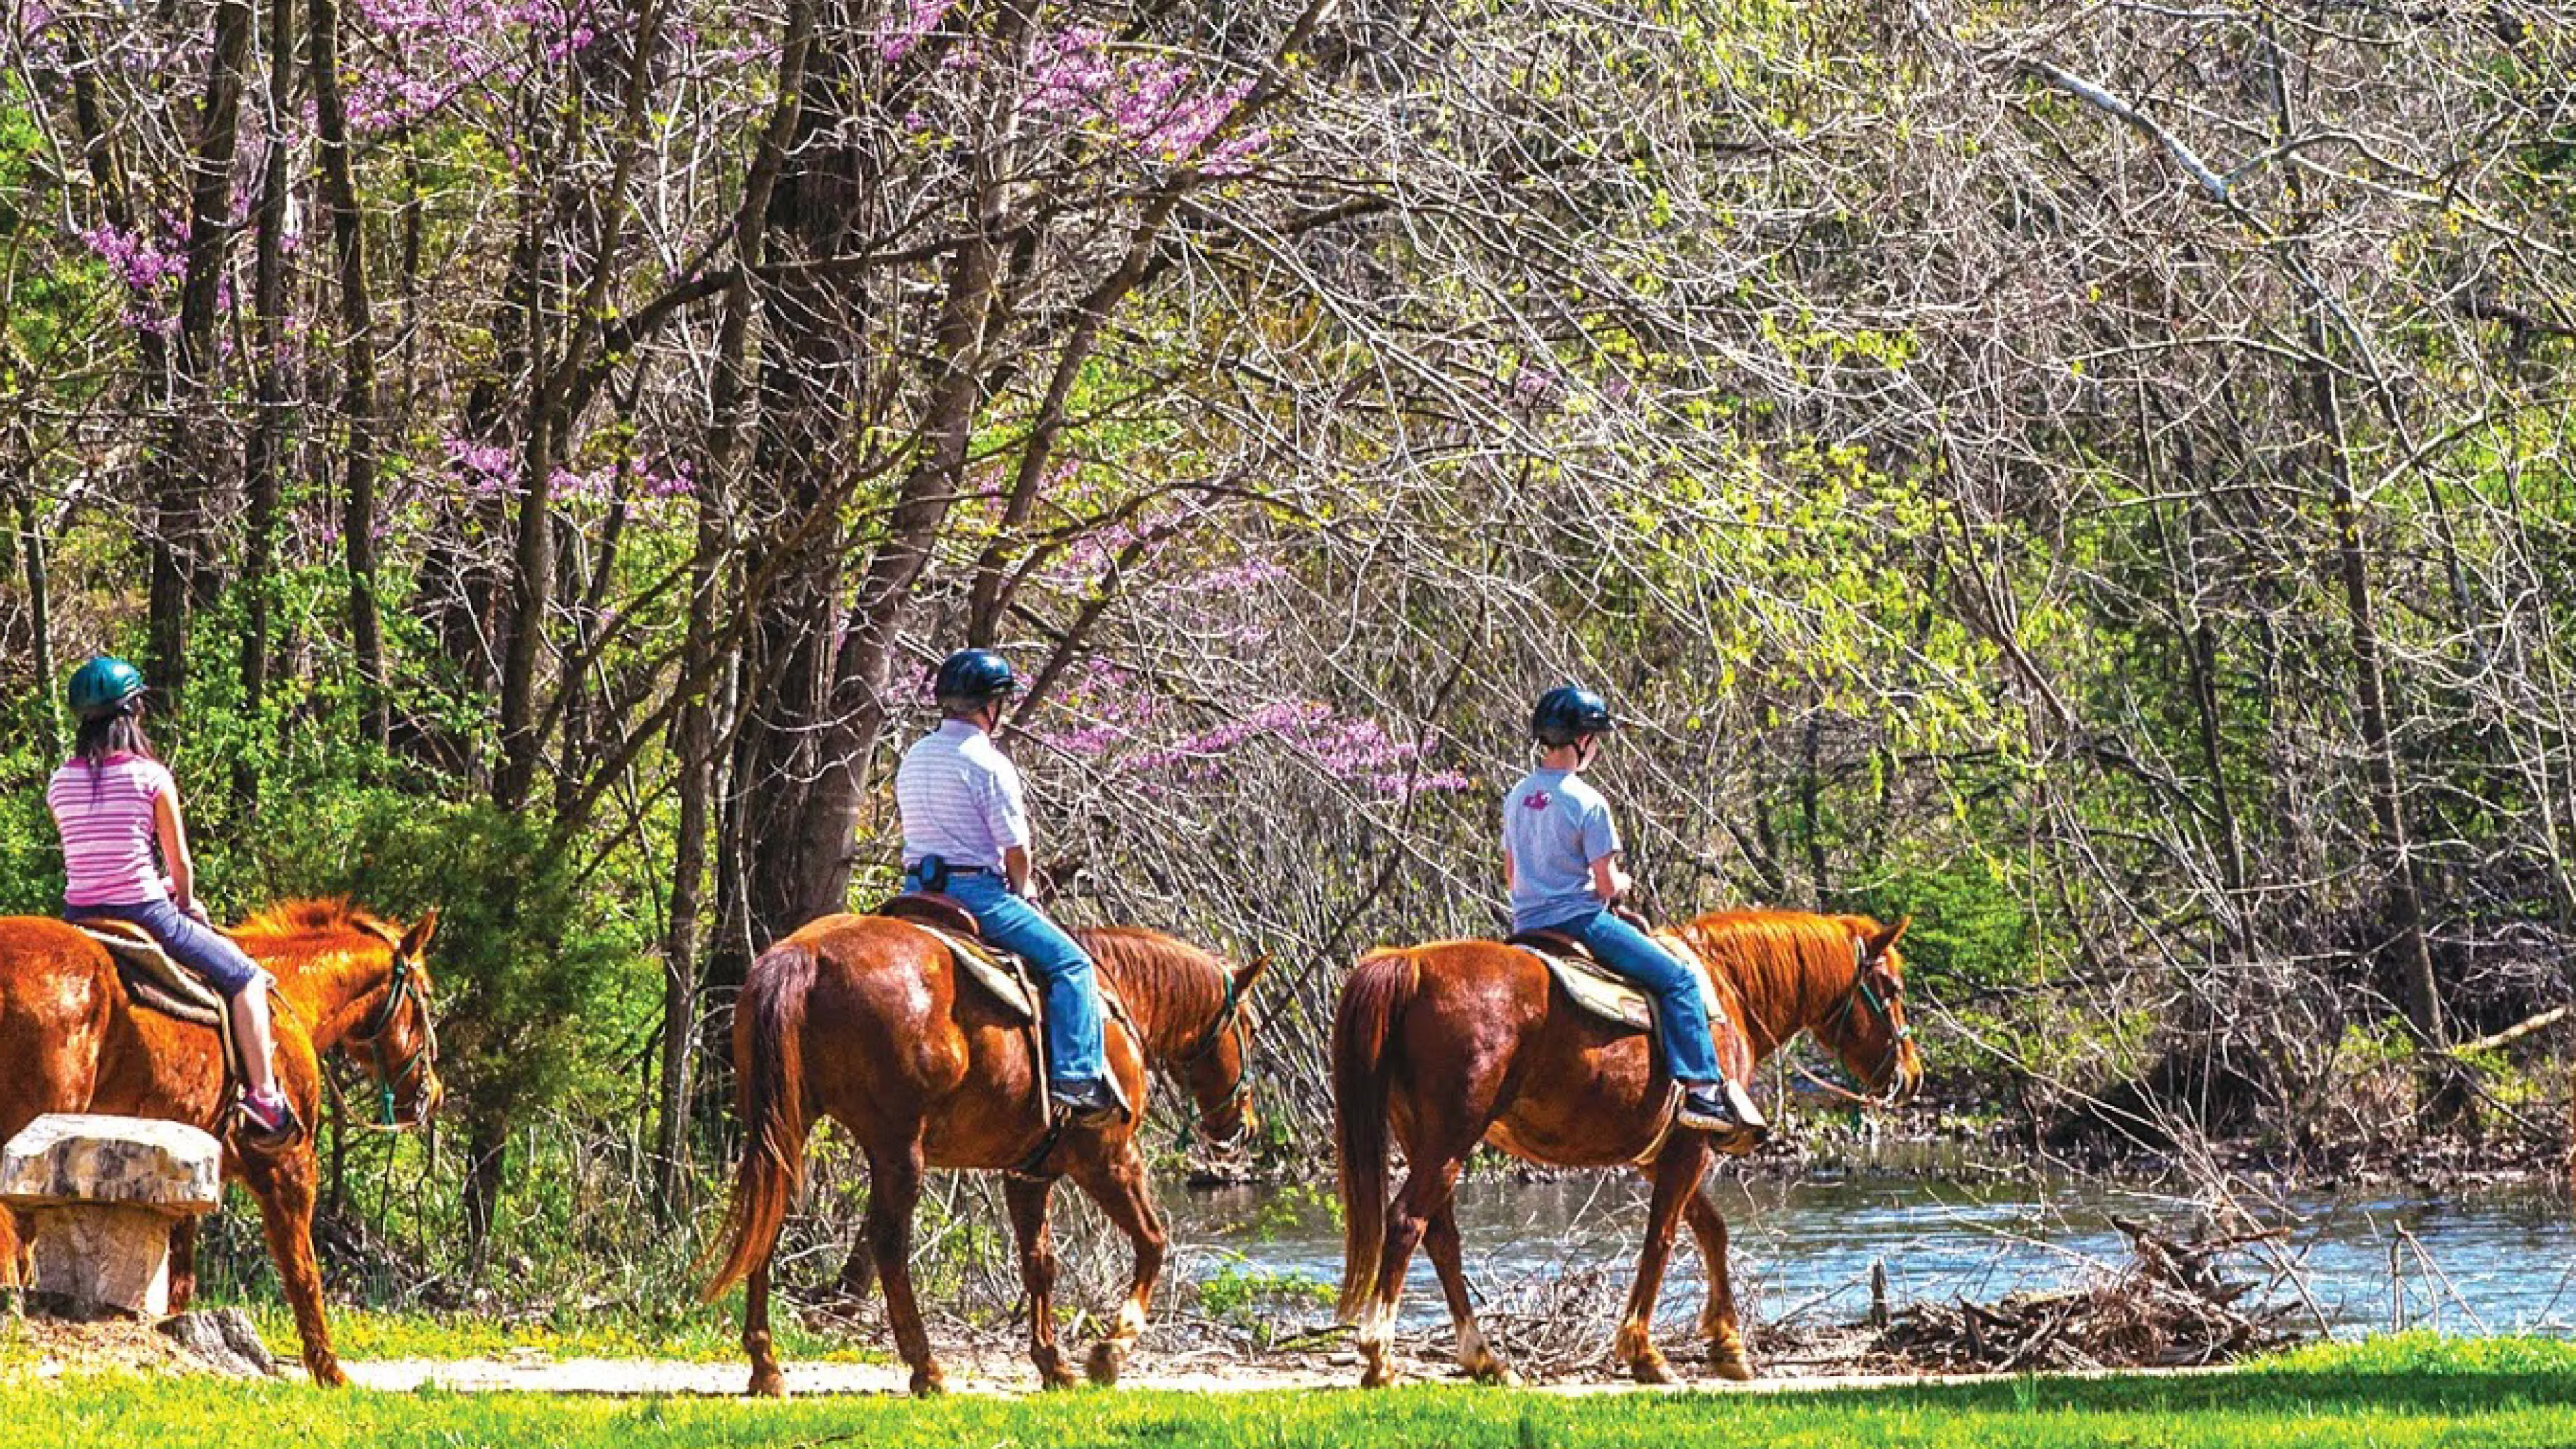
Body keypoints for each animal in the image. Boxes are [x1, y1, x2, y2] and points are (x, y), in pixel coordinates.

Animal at [0, 899, 444, 1385]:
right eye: (425, 995)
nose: (435, 1093)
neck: (292, 999)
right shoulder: (289, 1165)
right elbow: (302, 1268)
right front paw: (328, 1370)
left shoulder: (191, 1168)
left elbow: (181, 1275)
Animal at [702, 918, 1266, 1397]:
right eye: (1252, 1026)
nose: (1244, 1124)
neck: (1116, 1001)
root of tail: (807, 954)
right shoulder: (1109, 1159)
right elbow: (1152, 1241)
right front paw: (1112, 1348)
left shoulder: (1028, 1175)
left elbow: (1040, 1263)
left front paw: (1053, 1364)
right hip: (898, 1151)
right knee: (889, 1246)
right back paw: (926, 1368)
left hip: (785, 1131)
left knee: (766, 1223)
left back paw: (766, 1367)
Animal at [1333, 909, 1919, 1387]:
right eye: (1890, 989)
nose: (1911, 1076)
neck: (1727, 991)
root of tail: (1410, 964)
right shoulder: (1691, 1147)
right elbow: (1662, 1240)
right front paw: (1645, 1355)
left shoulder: (1659, 1156)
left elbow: (1711, 1231)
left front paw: (1727, 1346)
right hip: (1450, 1139)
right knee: (1406, 1223)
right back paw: (1381, 1358)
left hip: (1426, 1140)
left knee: (1441, 1238)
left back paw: (1487, 1360)